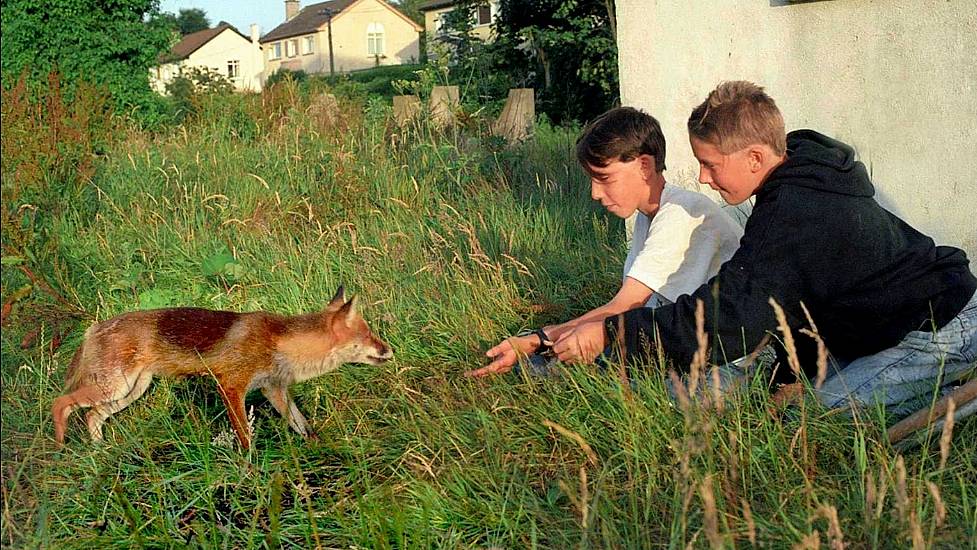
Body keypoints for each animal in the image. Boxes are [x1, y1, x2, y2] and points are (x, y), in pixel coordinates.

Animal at [49, 286, 390, 450]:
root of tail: (93, 327)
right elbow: (246, 438)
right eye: (369, 335)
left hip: (130, 391)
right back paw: (62, 446)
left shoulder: (274, 389)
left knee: (93, 416)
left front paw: (319, 449)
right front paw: (252, 471)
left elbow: (303, 426)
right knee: (61, 403)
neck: (278, 343)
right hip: (114, 387)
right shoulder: (230, 385)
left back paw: (101, 451)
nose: (390, 350)